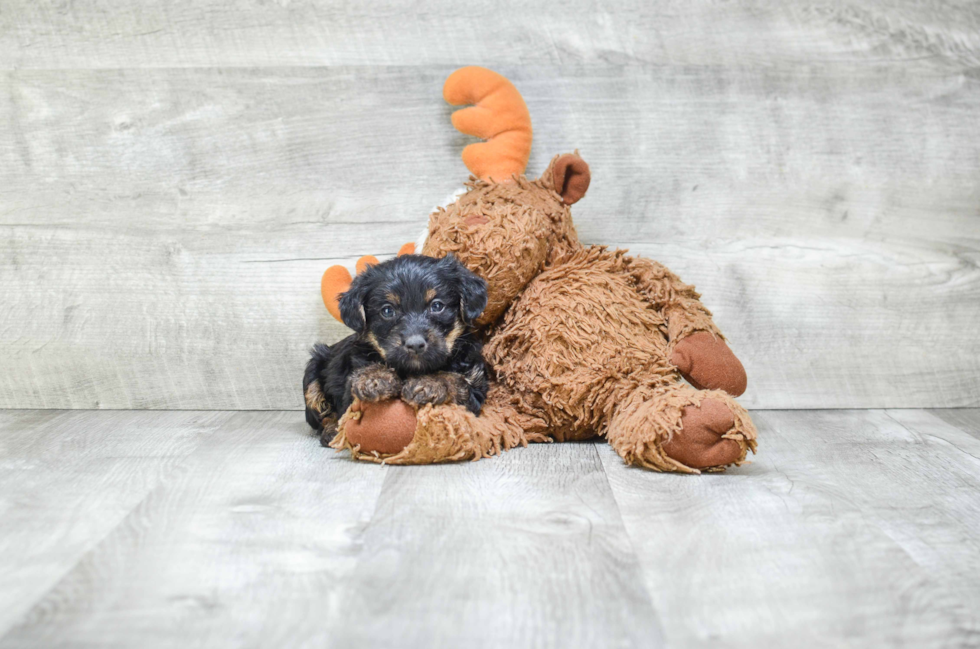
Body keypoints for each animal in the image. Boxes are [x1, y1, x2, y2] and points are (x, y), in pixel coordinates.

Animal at [304, 253, 488, 446]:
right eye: (387, 311)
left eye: (437, 306)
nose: (415, 344)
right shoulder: (350, 388)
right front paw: (374, 377)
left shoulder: (476, 390)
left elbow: (457, 381)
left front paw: (430, 382)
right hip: (313, 370)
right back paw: (332, 431)